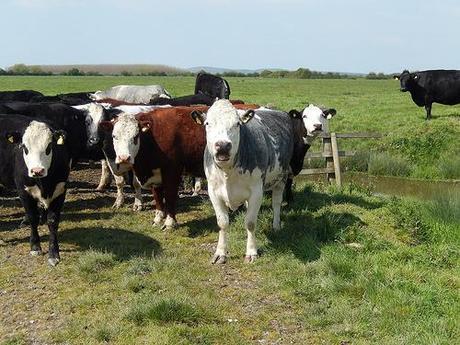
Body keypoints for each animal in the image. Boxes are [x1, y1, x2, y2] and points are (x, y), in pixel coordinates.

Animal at [0, 114, 70, 264]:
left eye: (49, 146)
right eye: (24, 147)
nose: (37, 170)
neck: (44, 184)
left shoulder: (60, 190)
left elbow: (52, 221)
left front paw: (53, 254)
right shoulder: (23, 191)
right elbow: (32, 217)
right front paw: (35, 247)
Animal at [191, 99, 292, 264]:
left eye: (237, 124)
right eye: (207, 123)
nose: (223, 145)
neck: (228, 172)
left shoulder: (257, 191)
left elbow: (250, 222)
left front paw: (251, 252)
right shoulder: (213, 191)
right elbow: (222, 222)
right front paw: (220, 253)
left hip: (281, 177)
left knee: (276, 203)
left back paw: (276, 225)